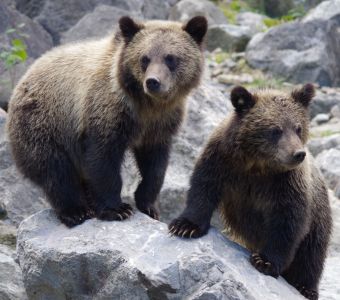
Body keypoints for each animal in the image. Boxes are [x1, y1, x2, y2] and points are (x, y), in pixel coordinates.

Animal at [5, 15, 207, 227]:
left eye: (171, 58)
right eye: (144, 58)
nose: (153, 81)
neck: (146, 105)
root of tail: (21, 82)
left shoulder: (160, 125)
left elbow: (155, 166)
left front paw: (149, 206)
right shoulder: (106, 112)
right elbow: (103, 160)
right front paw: (117, 209)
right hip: (44, 123)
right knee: (55, 170)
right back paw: (75, 211)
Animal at [170, 84, 332, 300]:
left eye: (298, 127)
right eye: (275, 129)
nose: (298, 154)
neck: (257, 165)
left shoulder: (286, 184)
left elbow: (287, 222)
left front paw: (265, 261)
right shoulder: (222, 160)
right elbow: (203, 188)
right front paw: (185, 226)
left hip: (319, 216)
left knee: (311, 253)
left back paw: (305, 287)